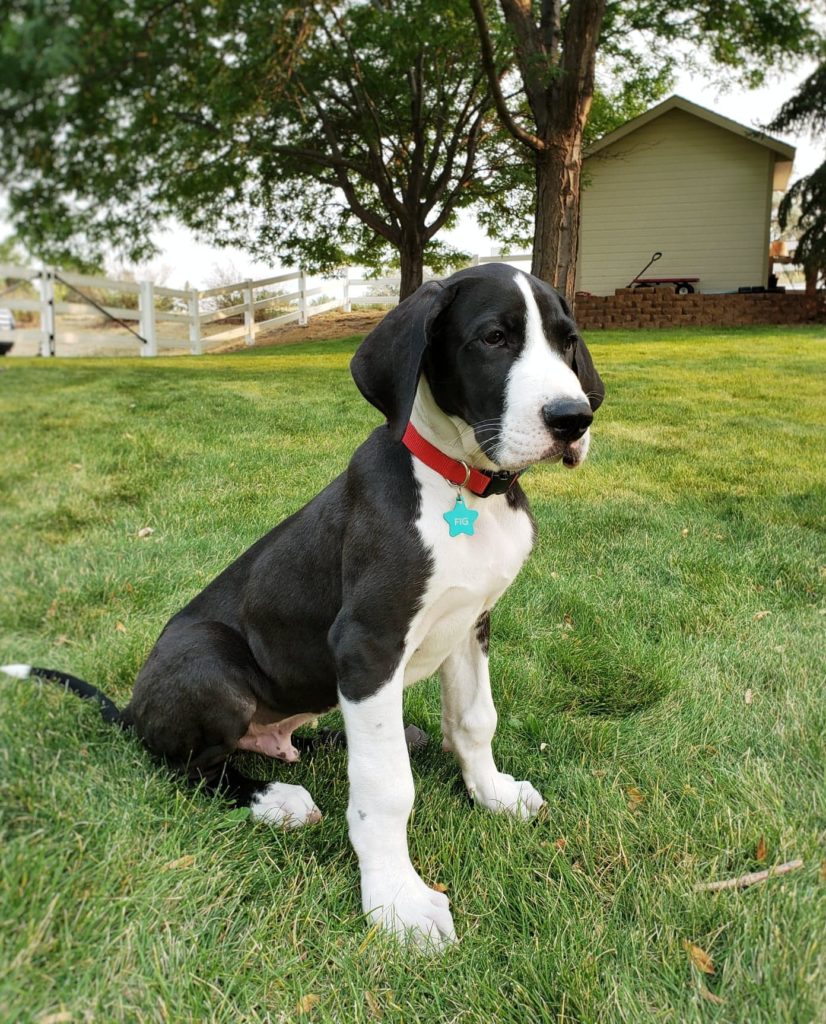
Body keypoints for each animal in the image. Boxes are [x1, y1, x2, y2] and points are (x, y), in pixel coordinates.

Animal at [3, 262, 605, 942]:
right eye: (494, 338)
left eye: (567, 341)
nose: (572, 419)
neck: (461, 486)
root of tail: (132, 710)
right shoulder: (368, 643)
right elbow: (386, 786)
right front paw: (396, 901)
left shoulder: (470, 620)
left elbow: (475, 720)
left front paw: (492, 794)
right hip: (210, 665)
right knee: (187, 766)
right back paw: (273, 797)